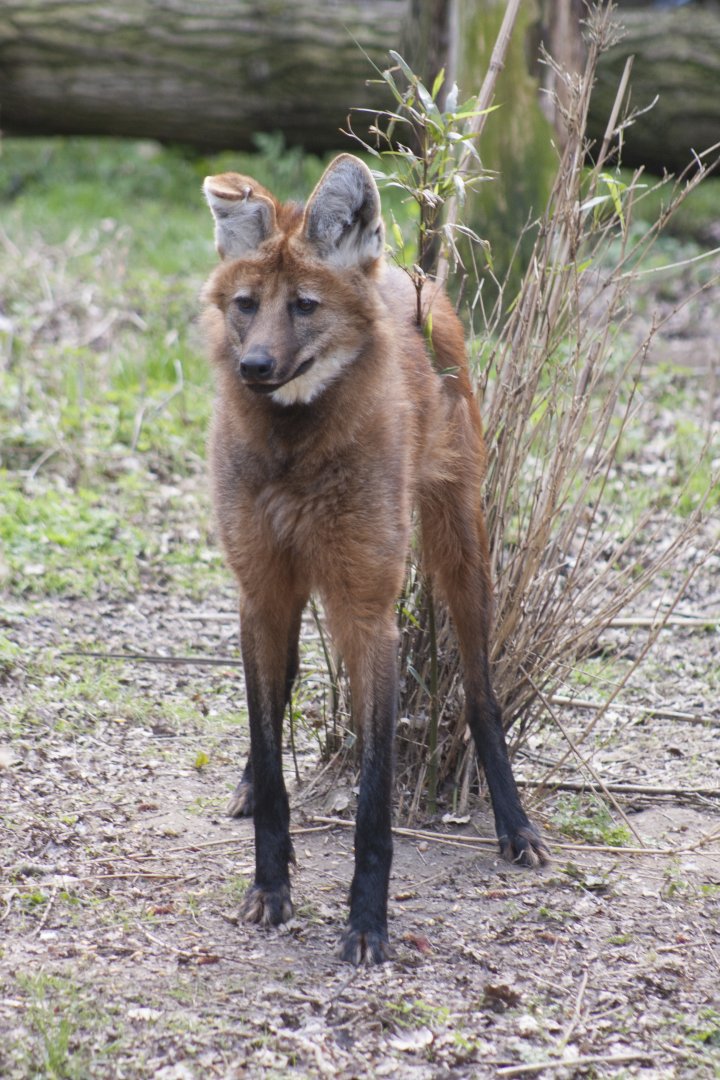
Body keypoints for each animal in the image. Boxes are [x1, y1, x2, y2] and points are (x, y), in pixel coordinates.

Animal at [201, 154, 548, 964]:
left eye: (304, 306)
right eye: (245, 305)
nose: (255, 364)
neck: (293, 446)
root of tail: (405, 274)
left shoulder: (367, 610)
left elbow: (373, 798)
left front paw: (367, 924)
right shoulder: (260, 588)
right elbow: (269, 754)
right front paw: (270, 887)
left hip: (460, 546)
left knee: (481, 690)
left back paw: (516, 826)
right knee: (284, 685)